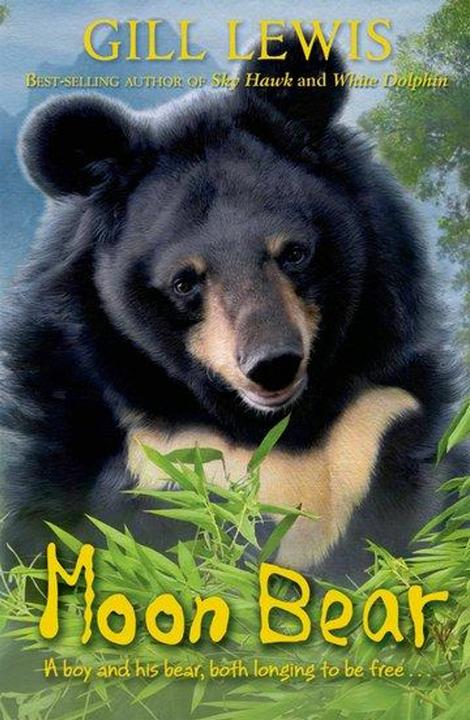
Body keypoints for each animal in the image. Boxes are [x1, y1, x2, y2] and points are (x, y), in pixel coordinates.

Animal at [0, 33, 463, 581]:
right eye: (184, 282)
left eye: (294, 253)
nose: (273, 364)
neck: (272, 432)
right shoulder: (143, 455)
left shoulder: (378, 418)